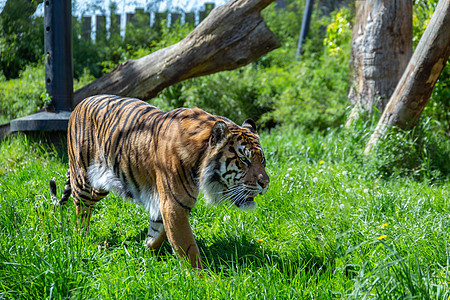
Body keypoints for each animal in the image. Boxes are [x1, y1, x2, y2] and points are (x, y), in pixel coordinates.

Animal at [49, 95, 268, 268]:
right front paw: (204, 279)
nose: (266, 183)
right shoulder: (174, 205)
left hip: (101, 184)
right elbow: (188, 247)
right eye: (244, 160)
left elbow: (158, 231)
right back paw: (82, 239)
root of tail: (80, 103)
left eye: (262, 160)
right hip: (83, 178)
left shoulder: (165, 203)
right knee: (81, 211)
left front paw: (147, 250)